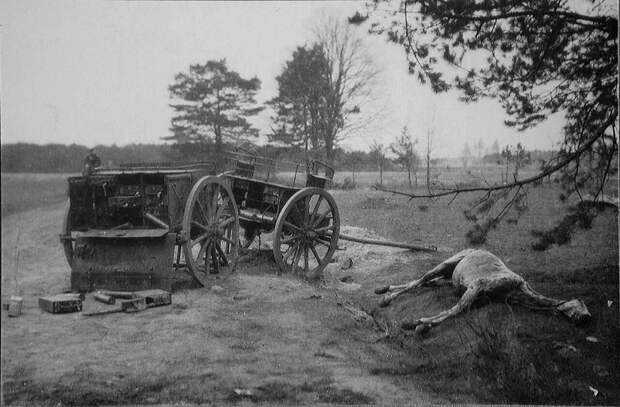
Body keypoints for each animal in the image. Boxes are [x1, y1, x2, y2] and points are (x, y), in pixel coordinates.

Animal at [372, 249, 592, 334]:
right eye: (581, 304)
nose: (587, 319)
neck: (516, 290)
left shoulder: (479, 297)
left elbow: (458, 310)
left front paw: (421, 323)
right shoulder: (477, 285)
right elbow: (455, 310)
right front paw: (416, 323)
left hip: (449, 278)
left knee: (425, 283)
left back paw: (384, 290)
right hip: (448, 263)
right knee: (420, 280)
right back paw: (386, 297)